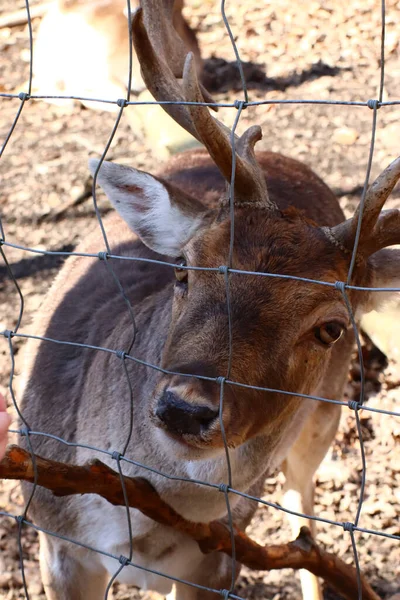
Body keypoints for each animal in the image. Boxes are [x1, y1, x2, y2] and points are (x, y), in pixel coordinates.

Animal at [17, 2, 400, 596]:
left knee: (305, 520)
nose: (185, 408)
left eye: (331, 327)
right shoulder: (53, 537)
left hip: (326, 417)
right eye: (184, 268)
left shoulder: (219, 558)